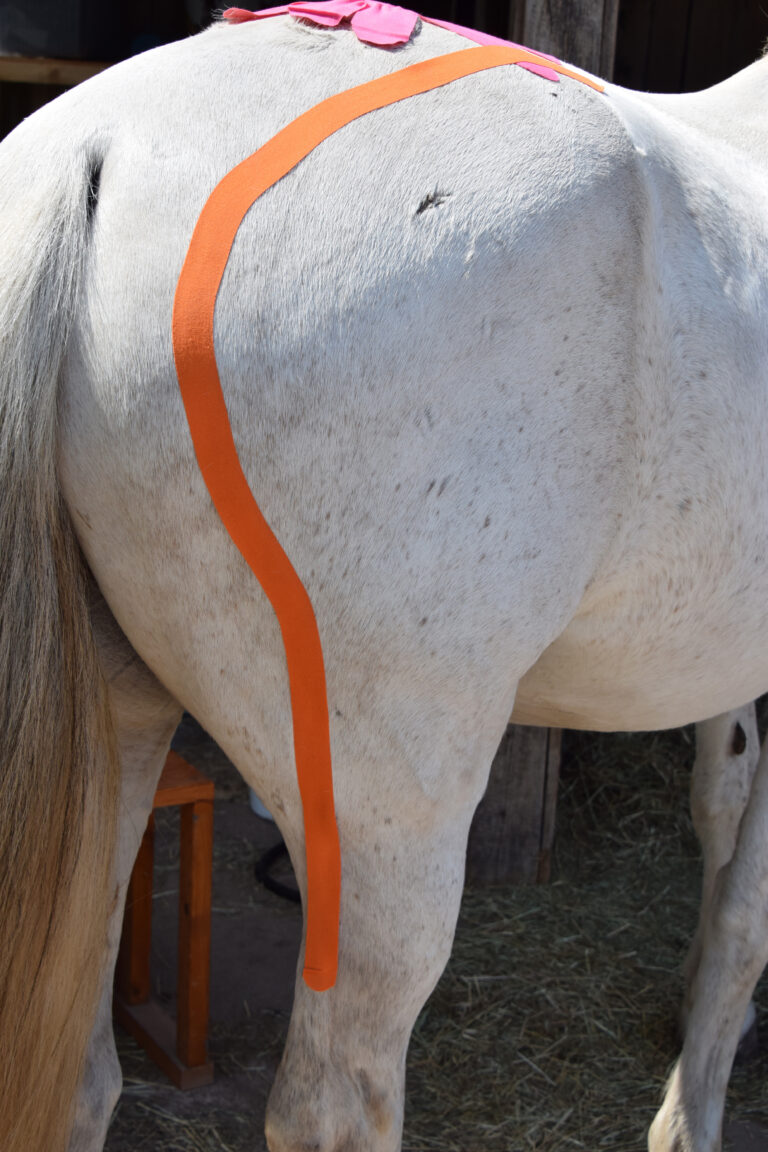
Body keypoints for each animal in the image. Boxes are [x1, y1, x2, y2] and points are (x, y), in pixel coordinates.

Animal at [1, 9, 768, 1151]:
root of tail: (95, 145)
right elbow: (746, 912)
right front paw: (693, 1112)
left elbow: (722, 813)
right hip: (384, 824)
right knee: (329, 1105)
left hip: (113, 736)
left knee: (79, 1079)